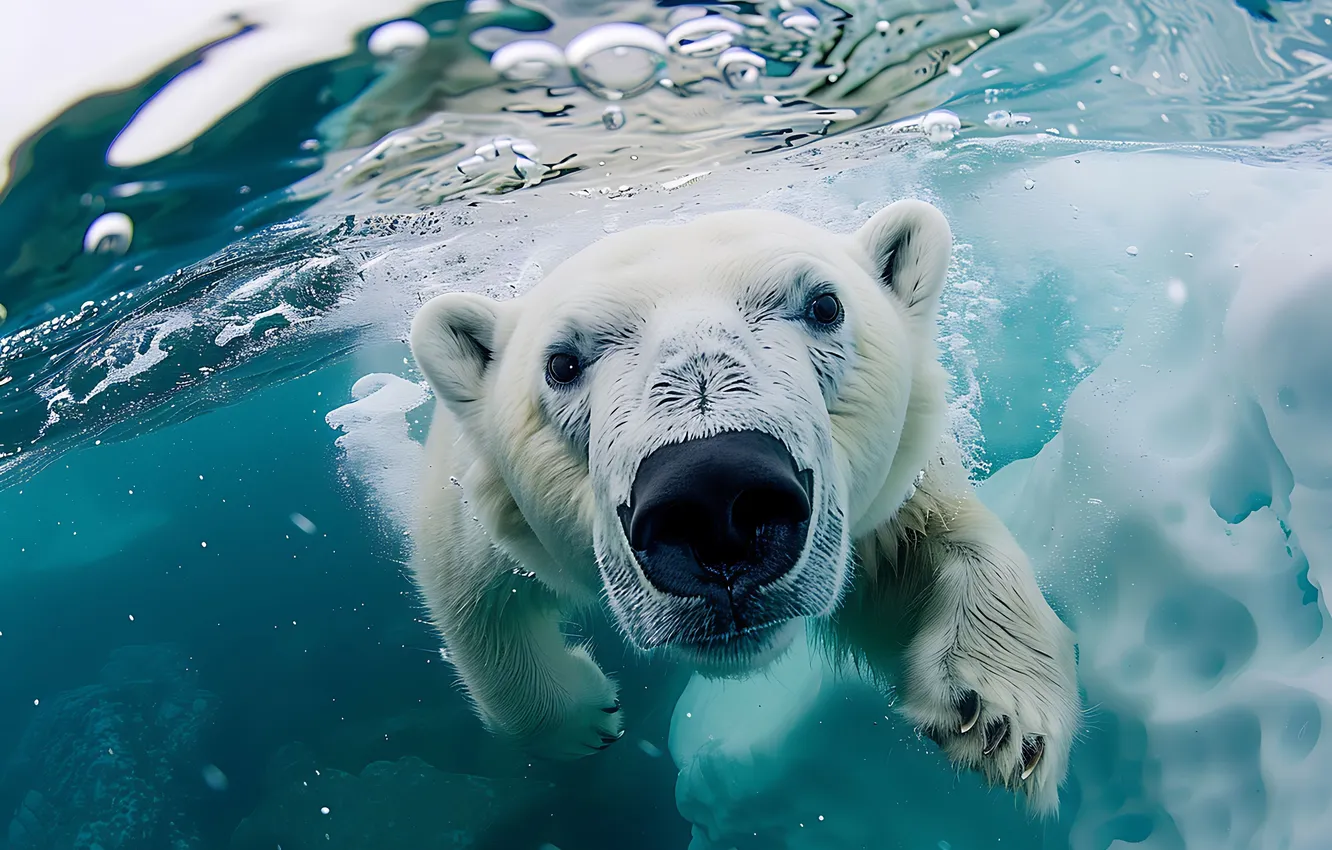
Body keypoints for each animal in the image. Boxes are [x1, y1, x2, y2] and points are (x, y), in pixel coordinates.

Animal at [407, 199, 1081, 814]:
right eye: (562, 363)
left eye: (825, 306)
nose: (714, 499)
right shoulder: (474, 507)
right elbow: (473, 601)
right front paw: (585, 719)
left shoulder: (890, 492)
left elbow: (929, 542)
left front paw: (997, 713)